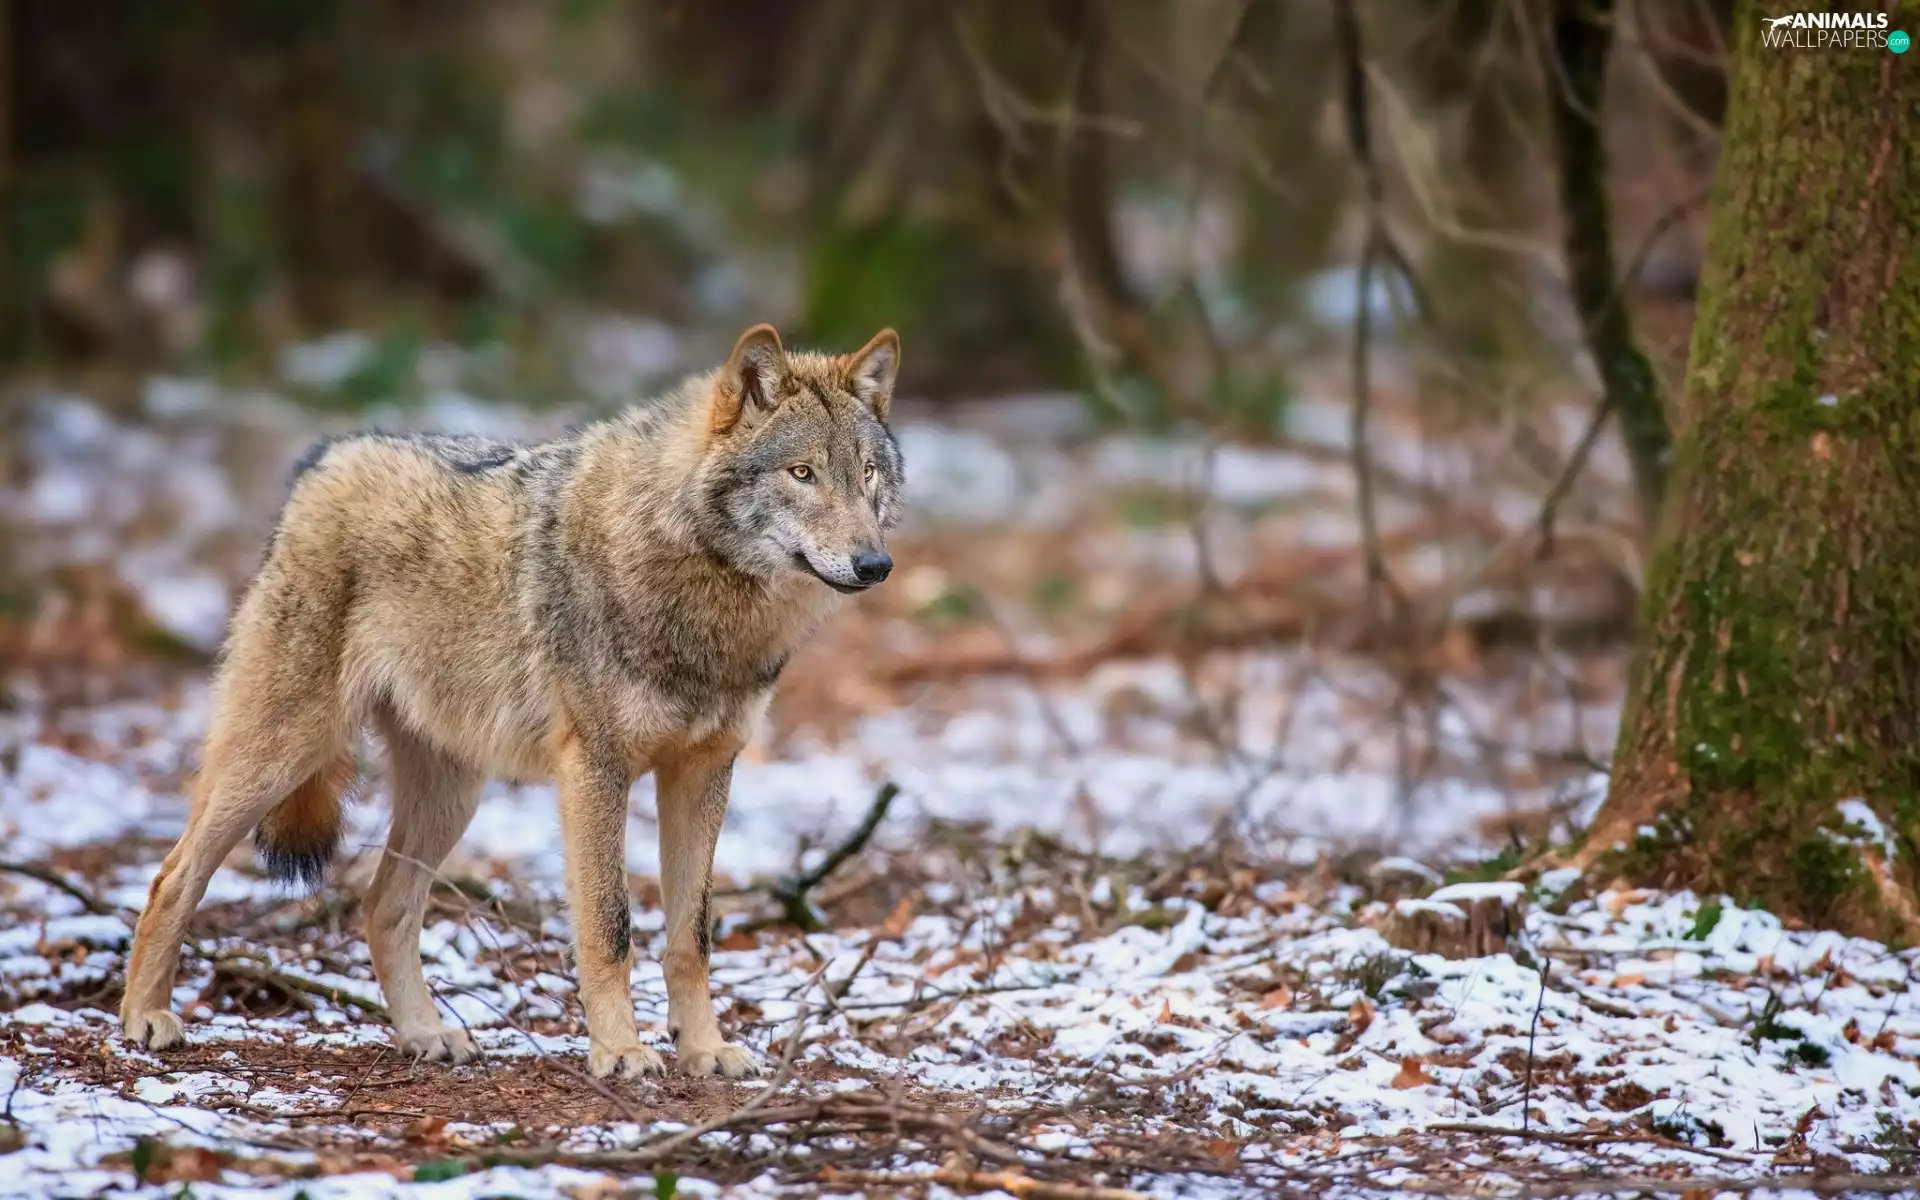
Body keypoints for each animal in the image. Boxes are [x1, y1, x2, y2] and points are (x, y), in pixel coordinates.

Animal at [118, 324, 905, 1079]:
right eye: (802, 473)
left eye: (866, 474)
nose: (875, 564)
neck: (702, 592)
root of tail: (326, 455)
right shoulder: (596, 770)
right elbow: (610, 927)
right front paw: (621, 1053)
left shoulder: (705, 773)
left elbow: (693, 935)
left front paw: (704, 1050)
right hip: (284, 754)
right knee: (171, 877)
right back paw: (143, 1019)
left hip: (451, 795)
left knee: (382, 905)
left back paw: (426, 1035)